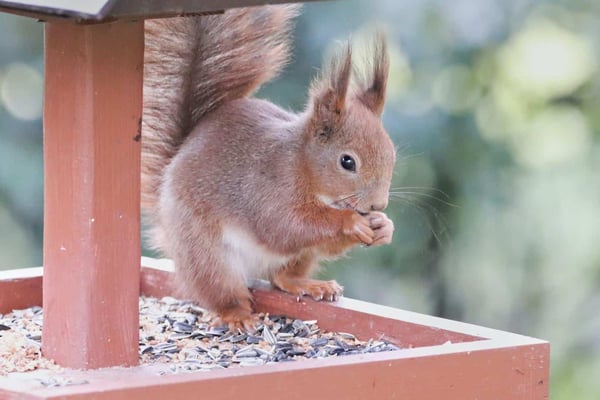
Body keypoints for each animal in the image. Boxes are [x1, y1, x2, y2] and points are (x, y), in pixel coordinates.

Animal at [140, 3, 394, 328]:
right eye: (347, 162)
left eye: (391, 153)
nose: (378, 205)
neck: (302, 164)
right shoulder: (268, 187)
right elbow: (285, 225)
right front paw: (350, 221)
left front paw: (383, 226)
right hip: (206, 255)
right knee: (222, 291)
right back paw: (237, 315)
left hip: (300, 257)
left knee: (281, 276)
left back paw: (308, 284)